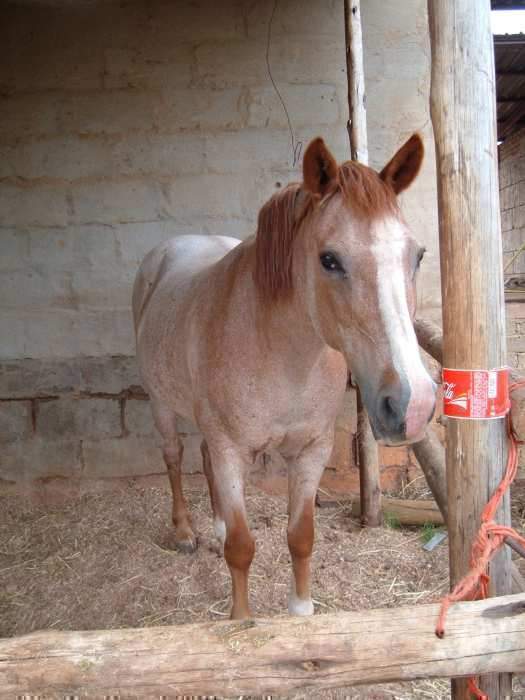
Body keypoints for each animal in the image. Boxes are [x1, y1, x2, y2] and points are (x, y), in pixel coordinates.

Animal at [133, 134, 436, 620]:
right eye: (328, 260)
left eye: (417, 255)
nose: (414, 404)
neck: (280, 355)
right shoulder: (232, 450)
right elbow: (242, 549)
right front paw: (240, 622)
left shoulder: (311, 452)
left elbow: (300, 537)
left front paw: (301, 612)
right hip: (161, 404)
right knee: (175, 458)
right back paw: (184, 532)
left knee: (202, 458)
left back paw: (215, 526)